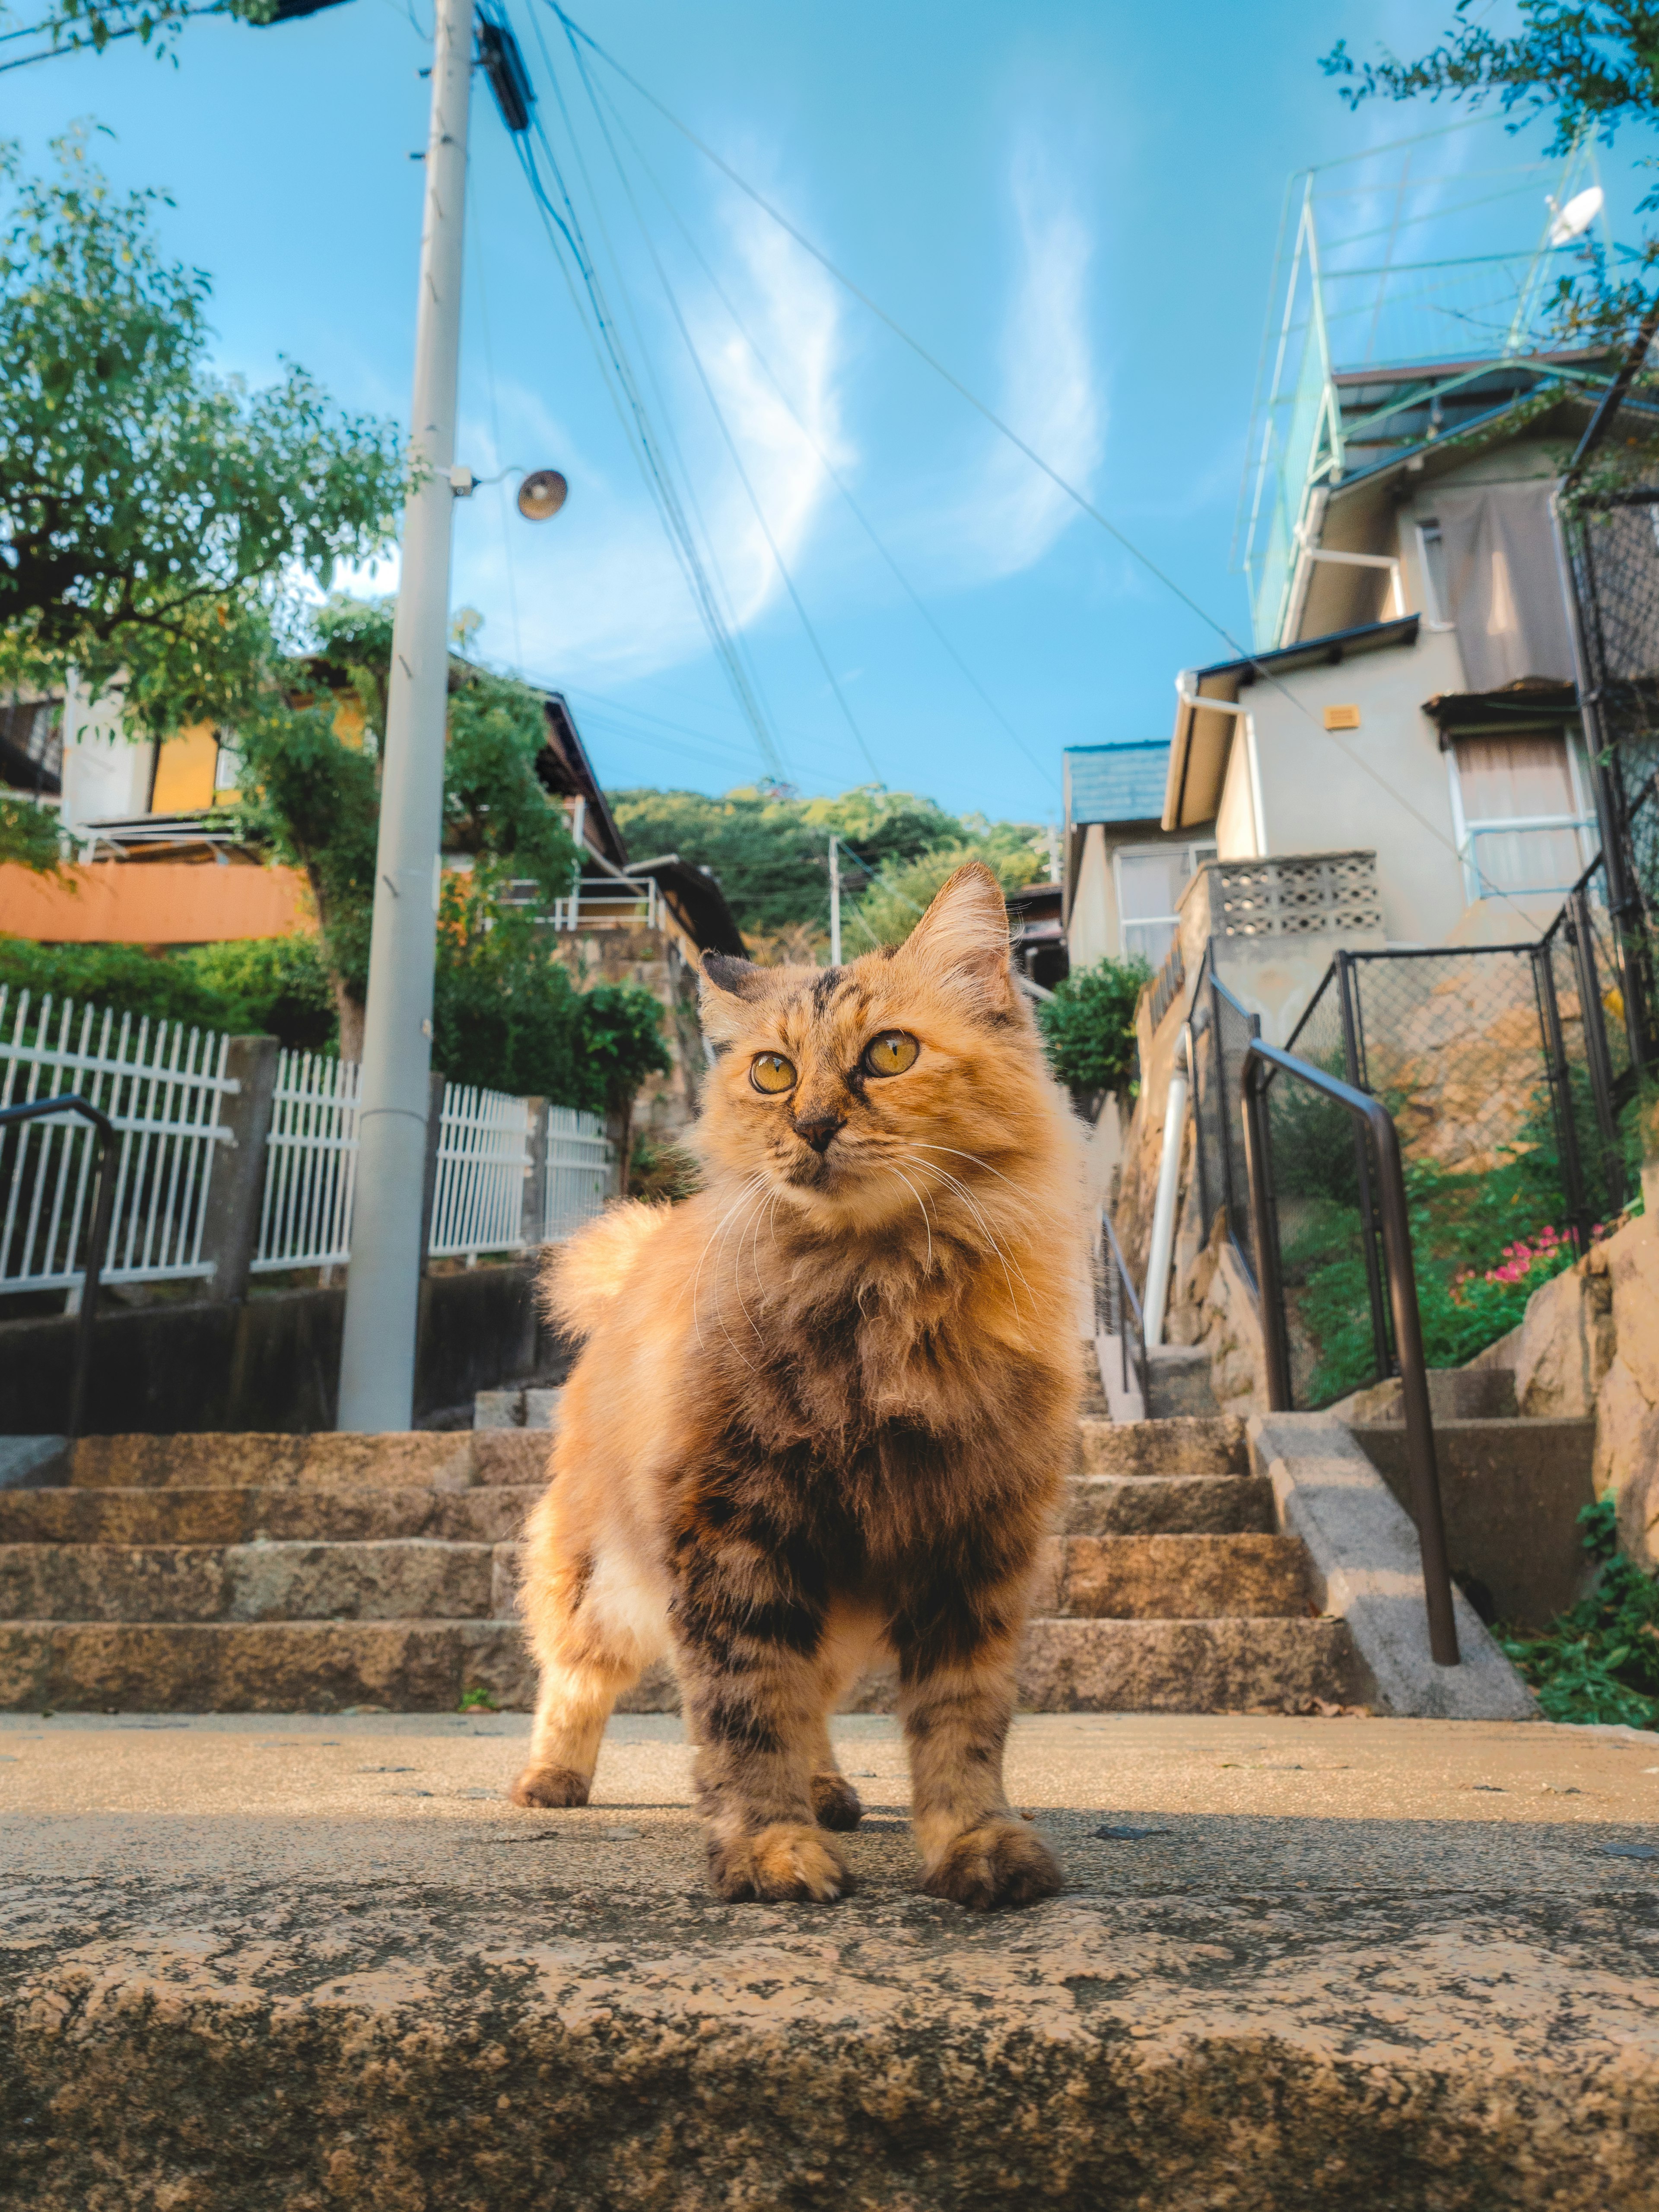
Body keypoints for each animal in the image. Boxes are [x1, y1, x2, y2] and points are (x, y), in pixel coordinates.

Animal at [513, 858, 1097, 1902]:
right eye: (772, 1073)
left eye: (891, 1054)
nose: (815, 1124)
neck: (879, 1297)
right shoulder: (733, 1528)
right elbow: (746, 1718)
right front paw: (769, 1851)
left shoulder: (975, 1544)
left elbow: (961, 1727)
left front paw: (975, 1845)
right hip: (603, 1579)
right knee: (575, 1677)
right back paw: (554, 1779)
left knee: (814, 1704)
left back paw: (830, 1791)